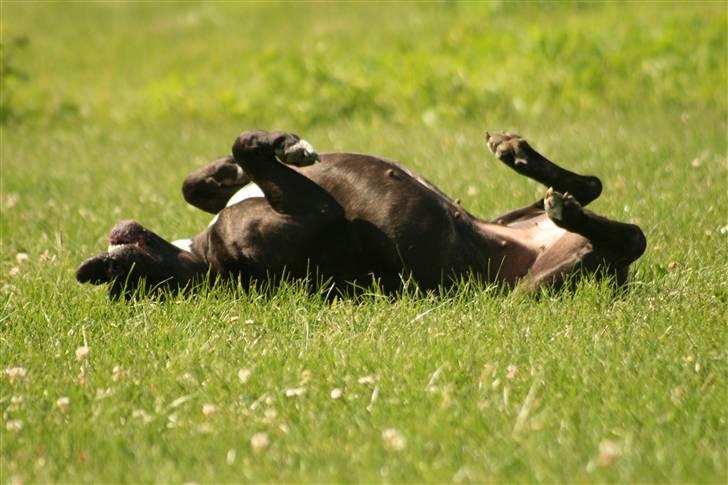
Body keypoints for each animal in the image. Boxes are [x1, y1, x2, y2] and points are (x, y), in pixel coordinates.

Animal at [75, 131, 644, 298]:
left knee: (591, 185)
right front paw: (278, 144)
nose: (114, 237)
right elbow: (244, 147)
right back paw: (565, 209)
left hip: (506, 216)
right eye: (120, 274)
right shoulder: (316, 217)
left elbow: (199, 182)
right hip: (540, 282)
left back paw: (518, 154)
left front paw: (260, 151)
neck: (205, 260)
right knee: (627, 235)